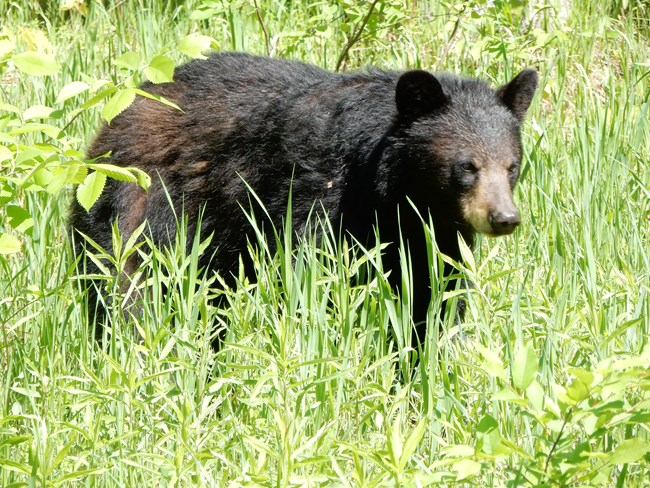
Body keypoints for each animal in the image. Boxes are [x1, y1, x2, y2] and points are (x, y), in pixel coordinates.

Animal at [71, 52, 536, 346]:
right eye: (467, 166)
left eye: (512, 165)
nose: (504, 217)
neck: (390, 191)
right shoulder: (314, 192)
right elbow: (308, 276)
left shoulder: (431, 235)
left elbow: (431, 296)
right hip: (135, 203)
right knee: (126, 286)